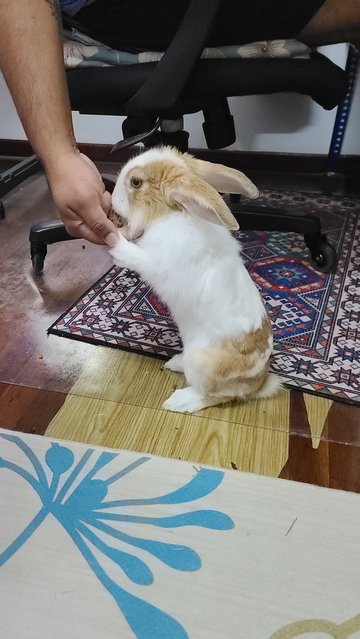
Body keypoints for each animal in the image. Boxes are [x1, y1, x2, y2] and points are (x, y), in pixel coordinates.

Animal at [109, 146, 282, 416]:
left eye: (136, 182)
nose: (110, 199)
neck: (174, 214)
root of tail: (258, 382)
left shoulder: (156, 263)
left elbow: (136, 257)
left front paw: (115, 240)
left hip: (202, 365)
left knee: (215, 396)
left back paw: (180, 401)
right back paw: (175, 363)